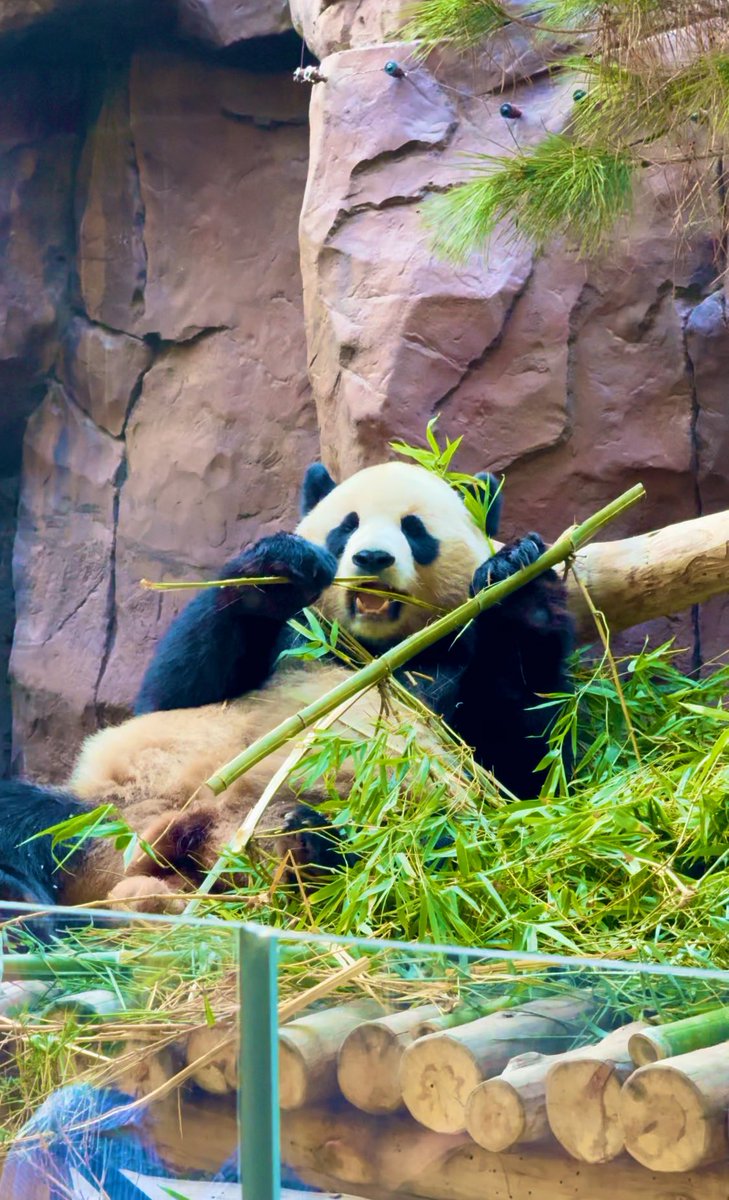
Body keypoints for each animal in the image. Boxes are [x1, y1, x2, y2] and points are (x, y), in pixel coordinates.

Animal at [0, 461, 572, 913]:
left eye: (414, 530)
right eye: (346, 527)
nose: (372, 558)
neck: (370, 651)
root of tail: (182, 843)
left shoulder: (454, 662)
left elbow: (520, 763)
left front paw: (518, 583)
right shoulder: (288, 640)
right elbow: (174, 692)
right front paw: (277, 569)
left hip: (398, 824)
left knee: (414, 850)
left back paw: (306, 844)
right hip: (106, 809)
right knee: (24, 817)